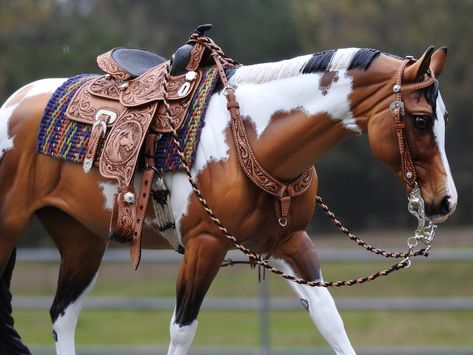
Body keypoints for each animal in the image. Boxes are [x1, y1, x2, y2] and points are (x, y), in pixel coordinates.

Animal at [0, 44, 458, 355]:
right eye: (420, 120)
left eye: (444, 118)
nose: (445, 202)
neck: (255, 137)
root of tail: (13, 103)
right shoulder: (204, 246)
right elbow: (181, 330)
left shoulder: (290, 243)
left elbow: (330, 320)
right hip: (11, 226)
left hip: (83, 240)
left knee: (63, 315)